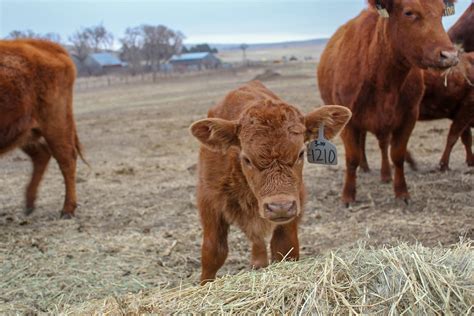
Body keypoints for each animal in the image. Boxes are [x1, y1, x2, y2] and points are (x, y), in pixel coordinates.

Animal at [0, 39, 84, 217]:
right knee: (42, 155)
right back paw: (29, 204)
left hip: (55, 125)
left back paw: (67, 210)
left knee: (66, 160)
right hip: (25, 134)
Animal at [190, 81, 352, 284]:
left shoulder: (294, 205)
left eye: (301, 153)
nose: (279, 207)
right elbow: (212, 253)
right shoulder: (209, 202)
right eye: (247, 159)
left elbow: (285, 249)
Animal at [318, 0, 460, 206]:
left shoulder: (409, 116)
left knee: (382, 145)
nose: (449, 55)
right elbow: (352, 157)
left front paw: (401, 192)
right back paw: (365, 167)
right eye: (409, 12)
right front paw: (348, 195)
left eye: (442, 12)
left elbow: (397, 155)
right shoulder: (348, 120)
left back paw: (385, 174)